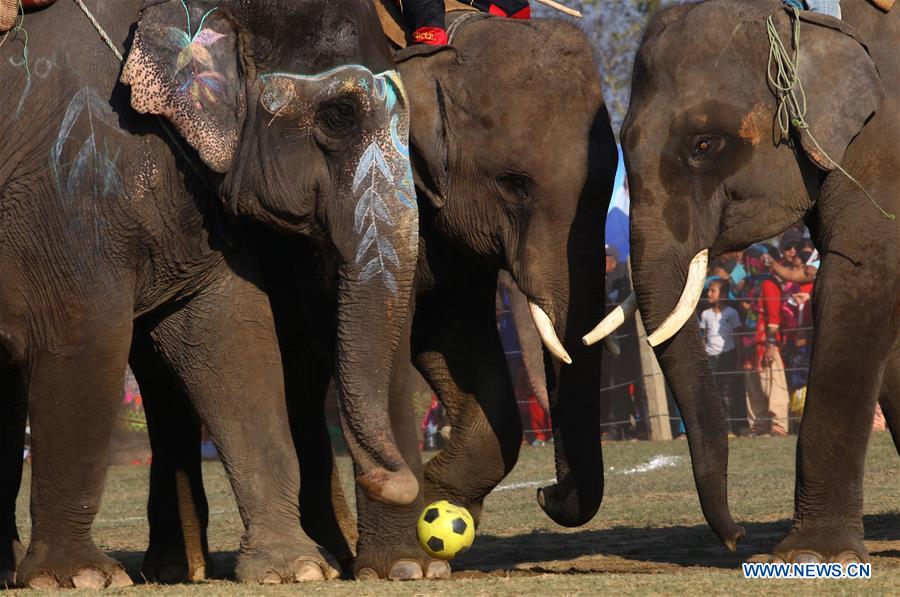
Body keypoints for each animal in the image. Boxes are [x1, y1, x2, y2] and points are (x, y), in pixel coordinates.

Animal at [0, 0, 419, 588]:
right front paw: (80, 578)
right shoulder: (71, 178)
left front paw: (295, 569)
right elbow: (85, 336)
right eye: (339, 115)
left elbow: (234, 338)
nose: (395, 479)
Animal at [137, 11, 618, 581]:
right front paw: (406, 561)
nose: (548, 493)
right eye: (513, 184)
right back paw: (179, 567)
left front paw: (439, 500)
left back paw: (328, 550)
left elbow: (458, 346)